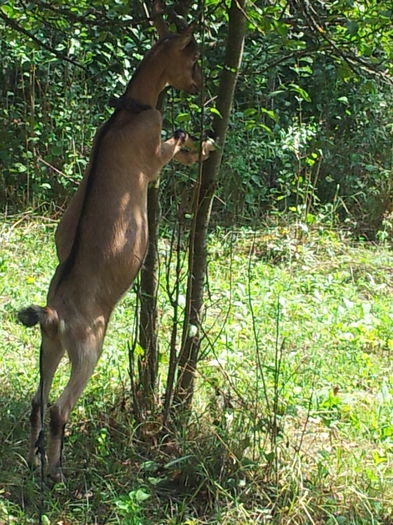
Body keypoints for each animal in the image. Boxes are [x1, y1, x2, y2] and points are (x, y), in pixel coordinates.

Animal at [17, 24, 214, 484]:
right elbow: (177, 143)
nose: (200, 86)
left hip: (50, 346)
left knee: (37, 402)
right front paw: (205, 141)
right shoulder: (154, 156)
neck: (130, 111)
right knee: (59, 408)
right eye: (193, 58)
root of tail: (54, 313)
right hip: (88, 349)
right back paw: (57, 473)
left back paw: (35, 461)